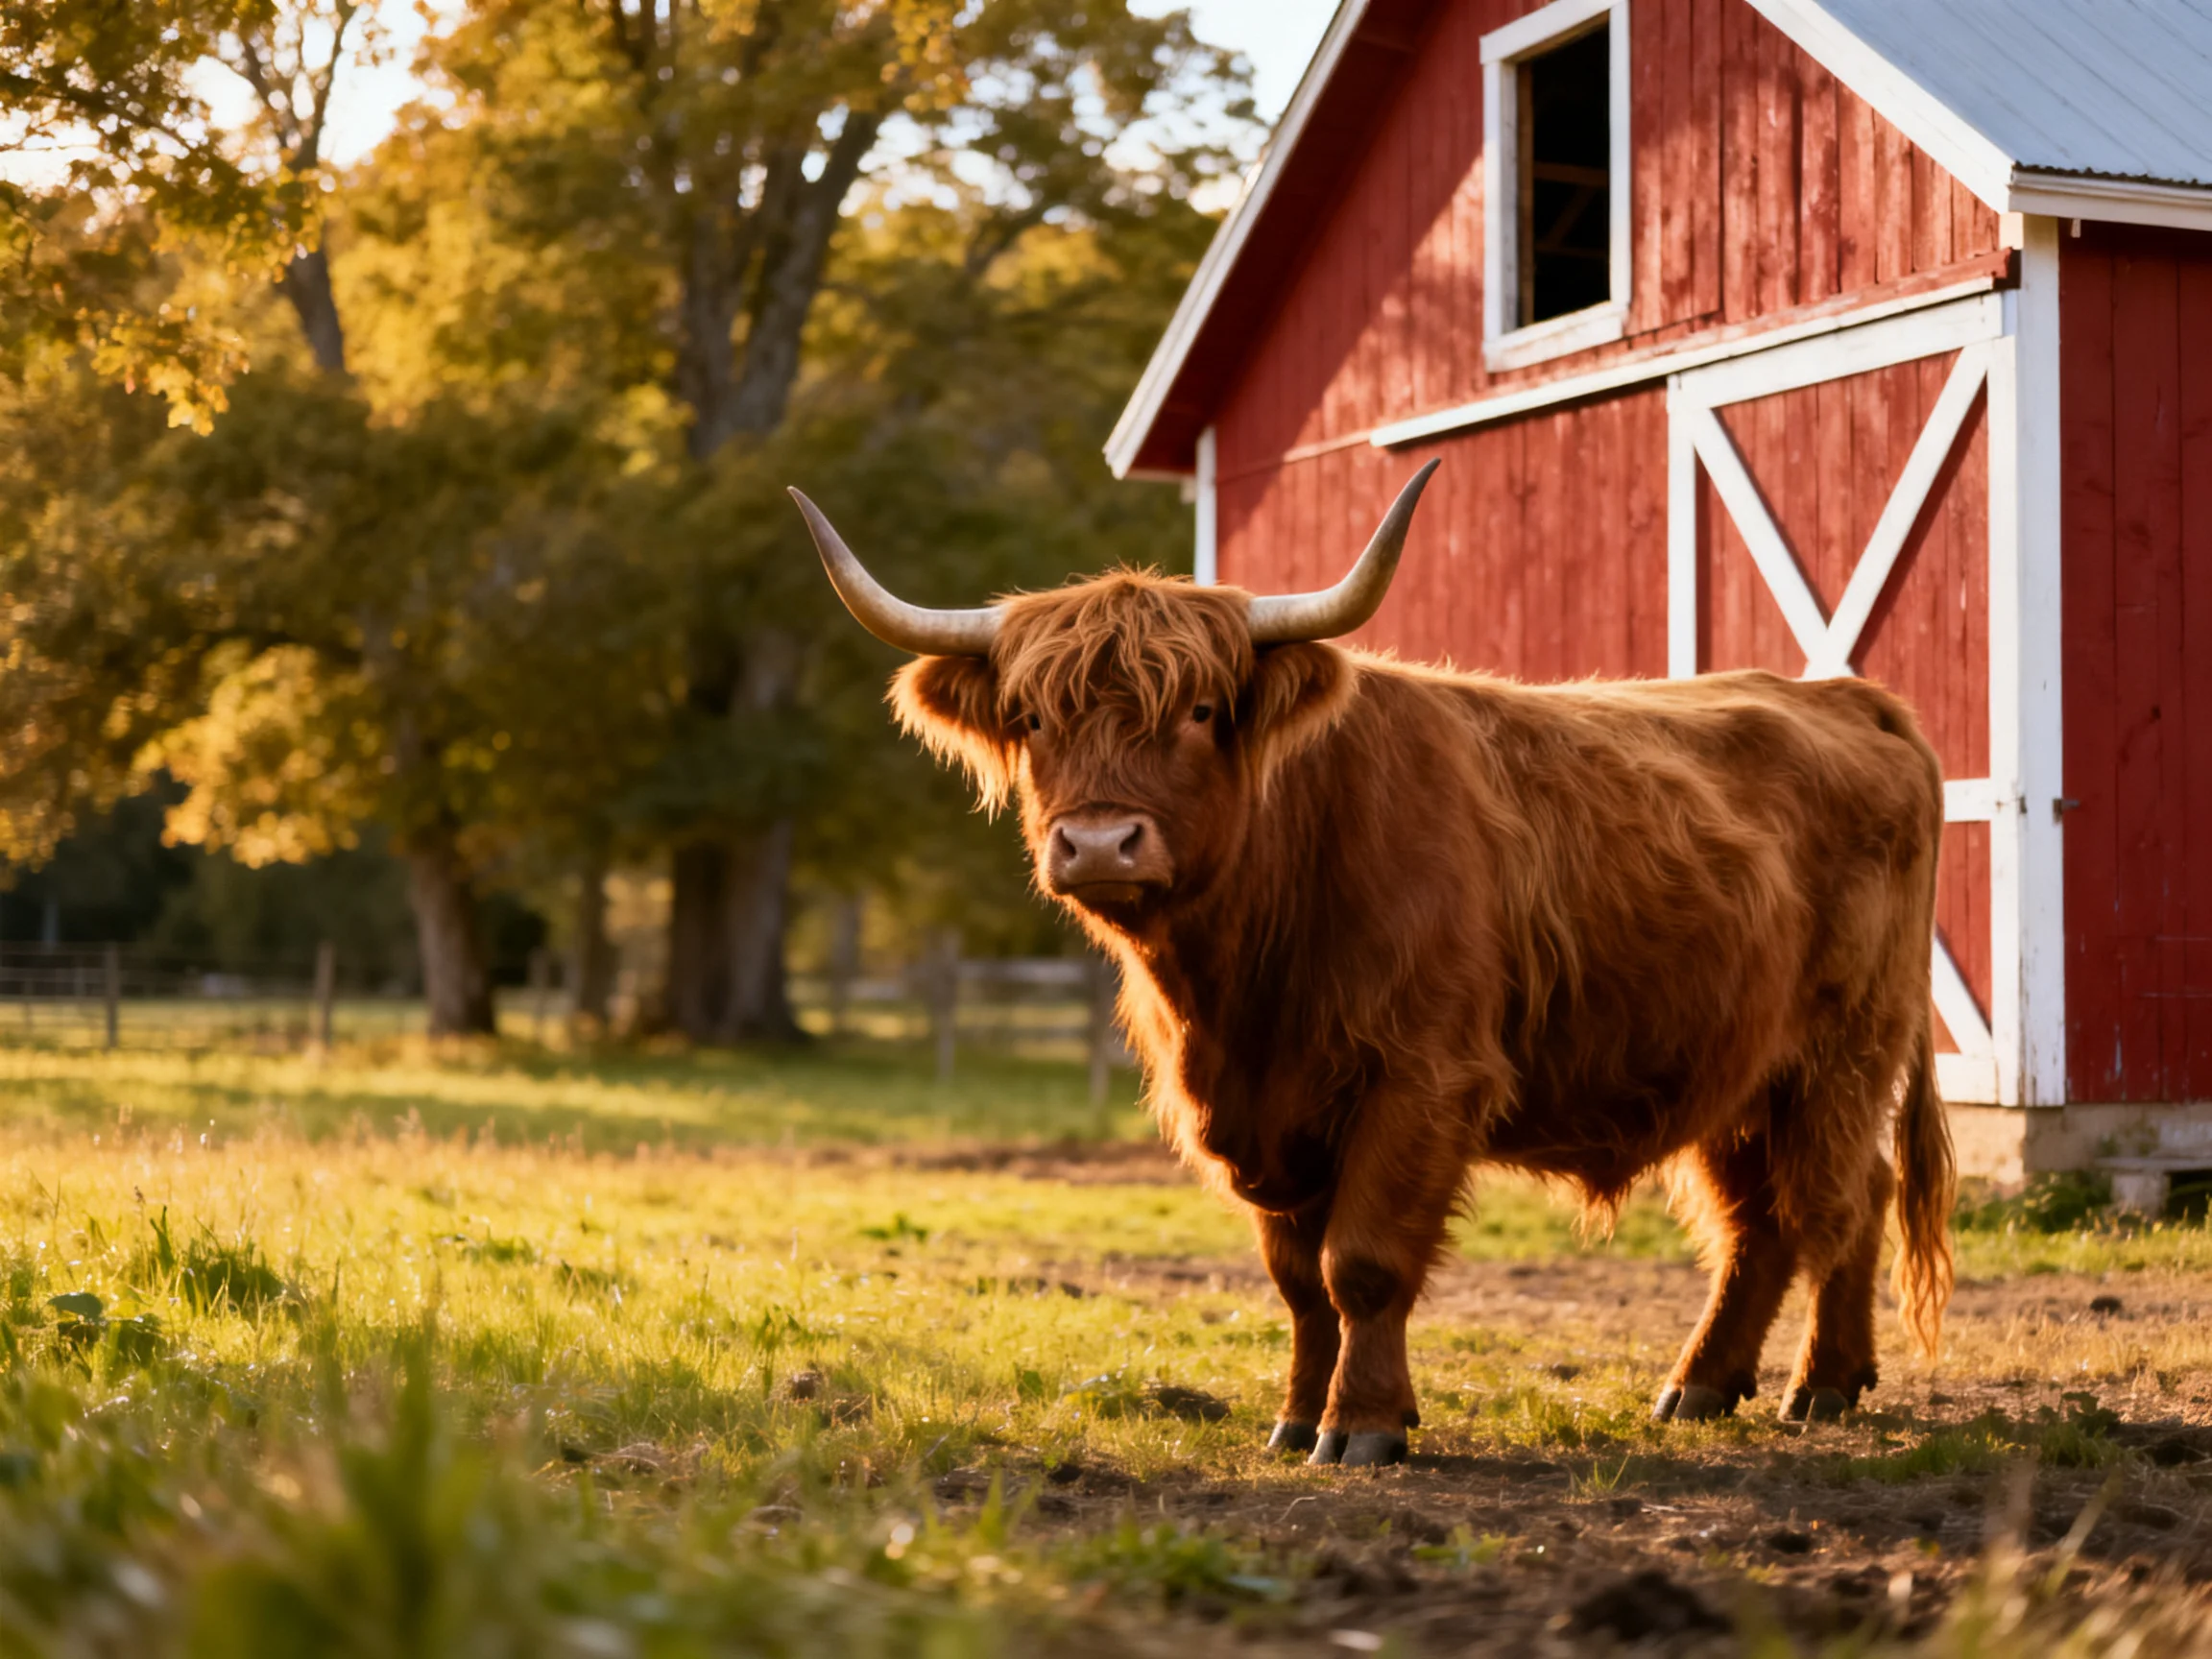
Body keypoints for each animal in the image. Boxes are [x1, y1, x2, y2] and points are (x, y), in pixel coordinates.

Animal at [790, 462, 1955, 1468]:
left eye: (1201, 711)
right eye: (1032, 717)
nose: (1100, 843)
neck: (1243, 982)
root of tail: (1846, 697)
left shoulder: (1422, 1078)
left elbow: (1364, 1265)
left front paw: (1364, 1427)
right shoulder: (1260, 1110)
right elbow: (1298, 1281)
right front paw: (1294, 1421)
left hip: (1843, 1047)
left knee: (1838, 1197)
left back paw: (1823, 1384)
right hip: (1734, 1065)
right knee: (1767, 1218)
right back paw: (1705, 1385)